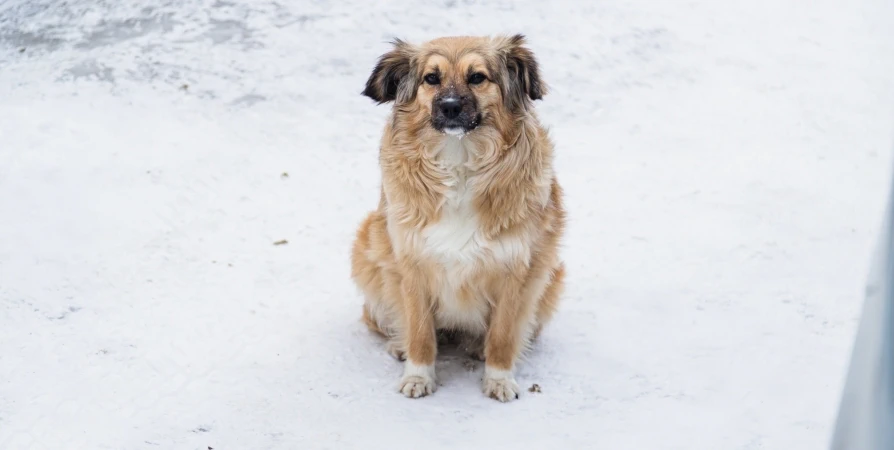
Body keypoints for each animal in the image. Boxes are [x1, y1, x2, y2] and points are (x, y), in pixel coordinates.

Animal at [352, 34, 568, 400]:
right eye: (431, 78)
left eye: (477, 77)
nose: (450, 106)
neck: (460, 157)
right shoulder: (412, 263)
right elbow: (420, 332)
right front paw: (418, 375)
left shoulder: (516, 269)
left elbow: (503, 335)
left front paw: (499, 378)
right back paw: (399, 343)